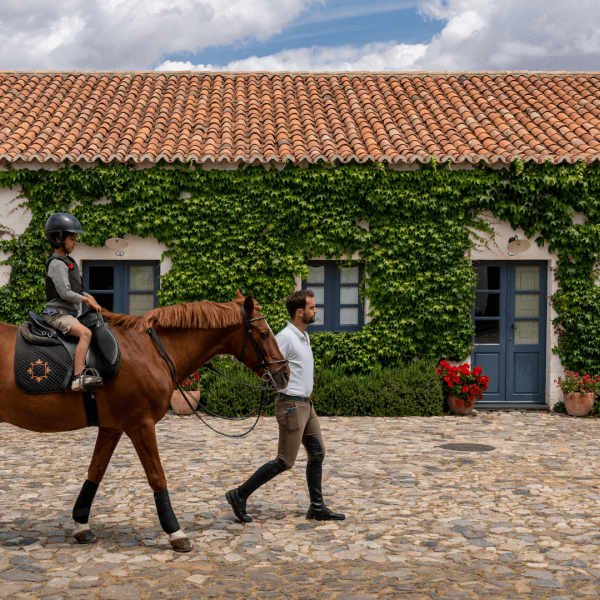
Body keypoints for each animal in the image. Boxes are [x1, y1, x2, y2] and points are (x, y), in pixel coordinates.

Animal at [0, 292, 288, 552]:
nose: (284, 373)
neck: (152, 350)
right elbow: (157, 476)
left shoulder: (111, 428)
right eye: (264, 333)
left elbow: (95, 472)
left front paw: (82, 526)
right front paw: (175, 532)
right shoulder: (141, 425)